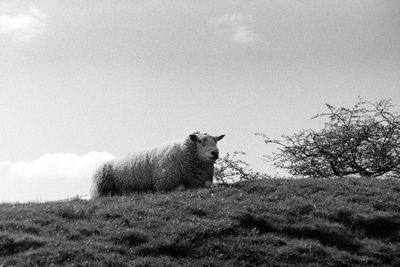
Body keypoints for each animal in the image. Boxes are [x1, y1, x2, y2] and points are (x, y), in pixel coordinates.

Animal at [90, 132, 225, 199]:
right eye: (200, 141)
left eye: (216, 141)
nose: (215, 153)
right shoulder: (163, 183)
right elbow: (181, 188)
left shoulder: (201, 180)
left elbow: (209, 184)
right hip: (101, 187)